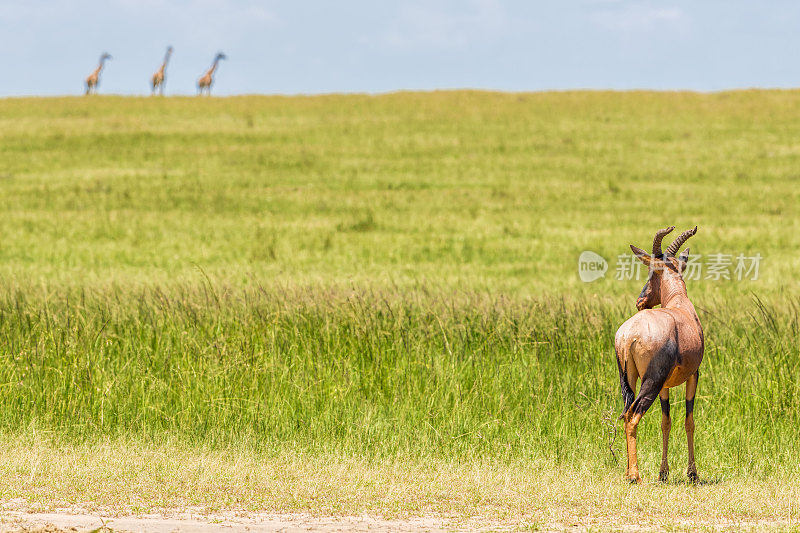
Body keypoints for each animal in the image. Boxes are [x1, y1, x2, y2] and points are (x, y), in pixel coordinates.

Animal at [616, 224, 704, 482]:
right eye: (651, 270)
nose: (640, 301)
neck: (679, 304)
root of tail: (629, 334)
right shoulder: (693, 375)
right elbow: (689, 420)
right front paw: (692, 474)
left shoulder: (666, 384)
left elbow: (666, 421)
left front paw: (663, 473)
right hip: (651, 381)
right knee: (634, 414)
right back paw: (635, 476)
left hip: (629, 378)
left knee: (625, 413)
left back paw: (628, 471)